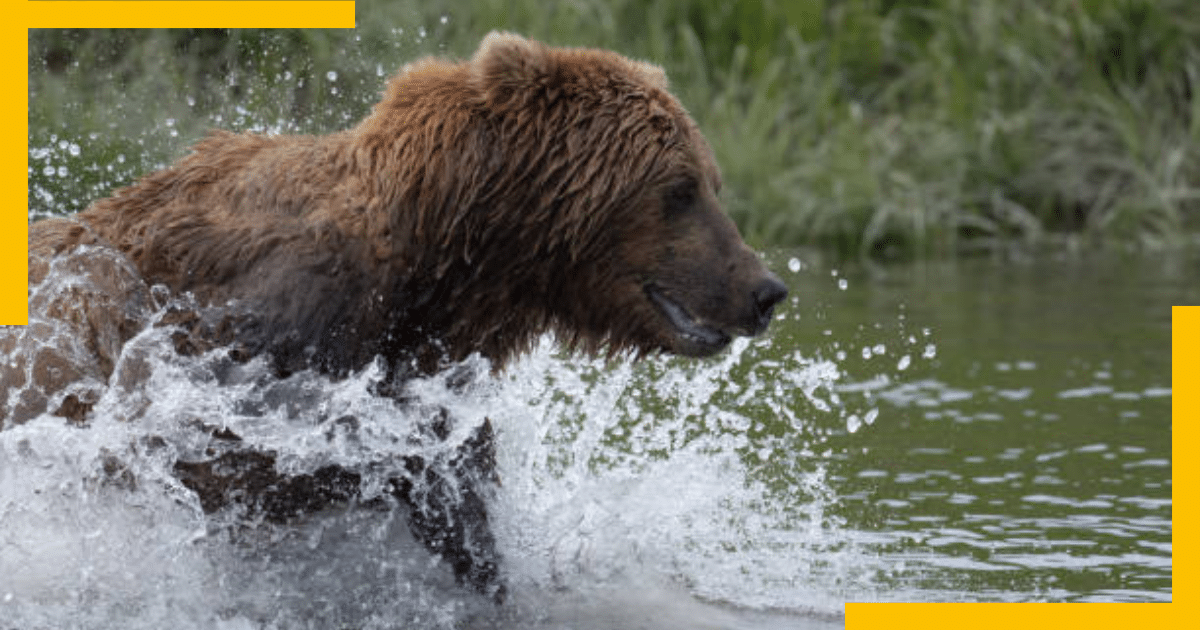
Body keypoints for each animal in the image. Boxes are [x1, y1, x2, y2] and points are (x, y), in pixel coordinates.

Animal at [7, 31, 787, 602]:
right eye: (680, 188)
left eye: (710, 180)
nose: (766, 289)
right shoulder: (236, 343)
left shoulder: (430, 381)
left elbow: (458, 505)